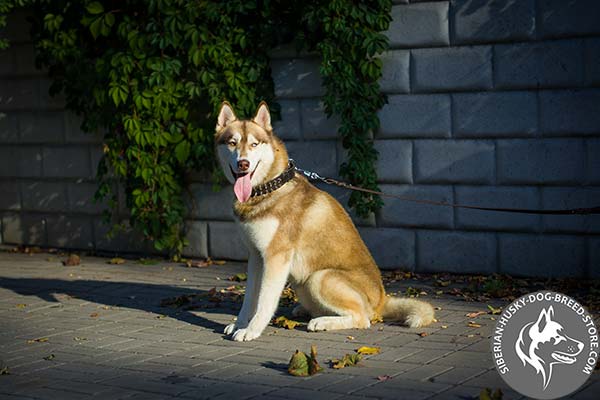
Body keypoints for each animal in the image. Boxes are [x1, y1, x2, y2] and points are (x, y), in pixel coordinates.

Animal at [213, 101, 434, 340]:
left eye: (254, 144)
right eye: (232, 143)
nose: (243, 164)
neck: (269, 187)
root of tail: (382, 298)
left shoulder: (275, 258)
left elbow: (264, 301)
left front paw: (251, 330)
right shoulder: (256, 256)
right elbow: (249, 298)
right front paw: (239, 324)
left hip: (319, 277)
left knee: (362, 318)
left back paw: (322, 322)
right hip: (302, 282)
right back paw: (306, 311)